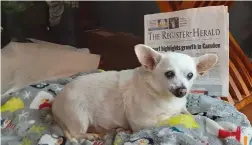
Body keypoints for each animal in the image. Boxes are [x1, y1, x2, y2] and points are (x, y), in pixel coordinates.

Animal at [52, 44, 218, 142]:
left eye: (190, 75)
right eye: (169, 74)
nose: (182, 90)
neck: (166, 97)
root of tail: (54, 105)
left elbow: (186, 112)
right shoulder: (142, 123)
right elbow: (169, 118)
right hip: (79, 117)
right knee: (75, 133)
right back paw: (90, 135)